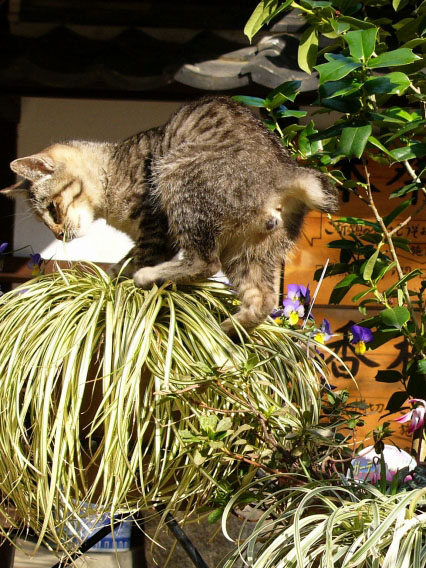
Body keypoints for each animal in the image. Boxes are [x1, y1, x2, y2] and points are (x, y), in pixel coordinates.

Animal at [1, 96, 338, 335]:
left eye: (51, 208)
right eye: (44, 219)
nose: (57, 234)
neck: (111, 169)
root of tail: (283, 170)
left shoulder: (155, 228)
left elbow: (131, 262)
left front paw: (119, 283)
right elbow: (120, 264)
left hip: (177, 179)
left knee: (204, 263)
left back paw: (151, 278)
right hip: (249, 253)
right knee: (262, 300)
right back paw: (228, 333)